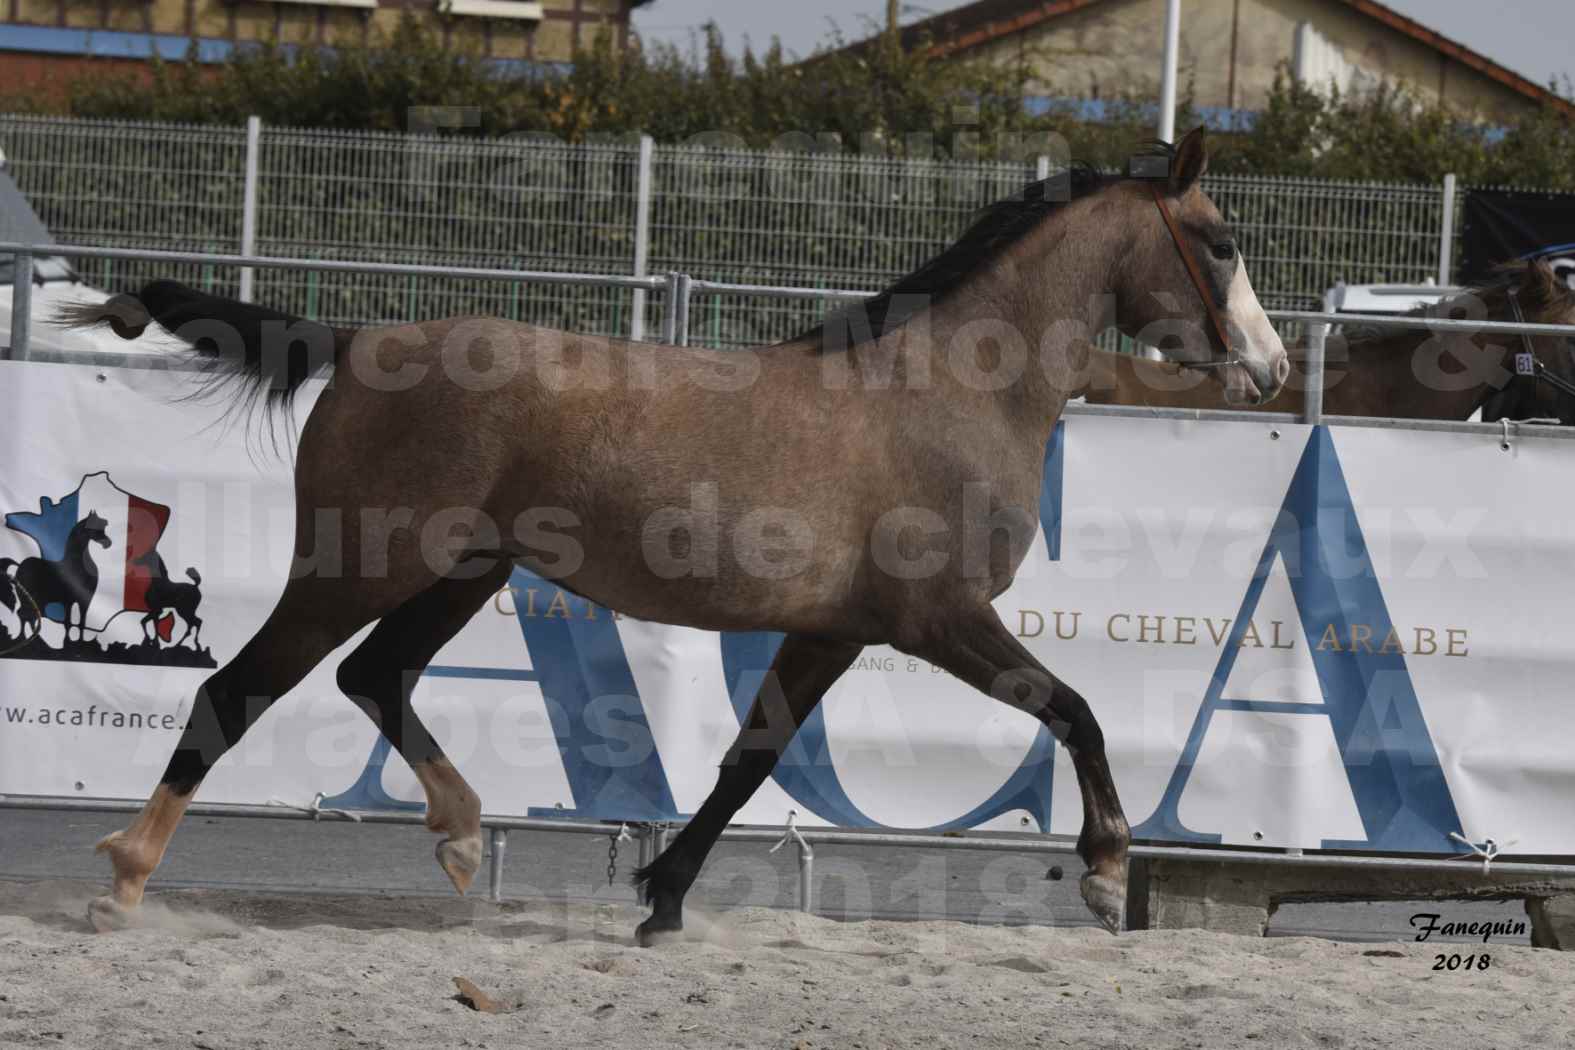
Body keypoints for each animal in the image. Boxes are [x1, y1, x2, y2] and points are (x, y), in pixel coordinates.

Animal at [9, 513, 112, 645]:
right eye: (94, 528)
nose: (108, 543)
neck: (77, 566)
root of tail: (20, 566)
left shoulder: (85, 601)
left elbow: (81, 623)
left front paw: (79, 641)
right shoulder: (67, 601)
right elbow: (68, 623)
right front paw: (67, 641)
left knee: (30, 617)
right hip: (29, 599)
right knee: (25, 615)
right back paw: (28, 638)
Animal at [61, 125, 1291, 944]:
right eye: (1221, 241)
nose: (1274, 368)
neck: (947, 390)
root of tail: (362, 339)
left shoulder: (834, 631)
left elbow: (751, 760)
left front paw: (663, 900)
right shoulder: (939, 618)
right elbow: (1074, 709)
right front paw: (1106, 870)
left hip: (461, 570)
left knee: (376, 676)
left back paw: (459, 835)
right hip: (355, 563)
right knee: (238, 688)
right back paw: (124, 877)